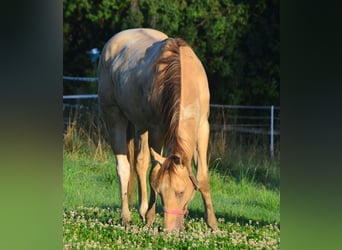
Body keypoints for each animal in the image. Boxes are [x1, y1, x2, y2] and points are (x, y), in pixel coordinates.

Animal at [97, 27, 218, 230]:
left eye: (181, 192)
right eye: (160, 192)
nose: (170, 230)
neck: (184, 76)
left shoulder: (202, 128)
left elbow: (202, 176)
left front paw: (213, 224)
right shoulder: (157, 129)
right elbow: (154, 172)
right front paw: (150, 218)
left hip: (140, 124)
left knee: (140, 162)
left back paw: (141, 210)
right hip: (114, 116)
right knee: (124, 167)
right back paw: (127, 217)